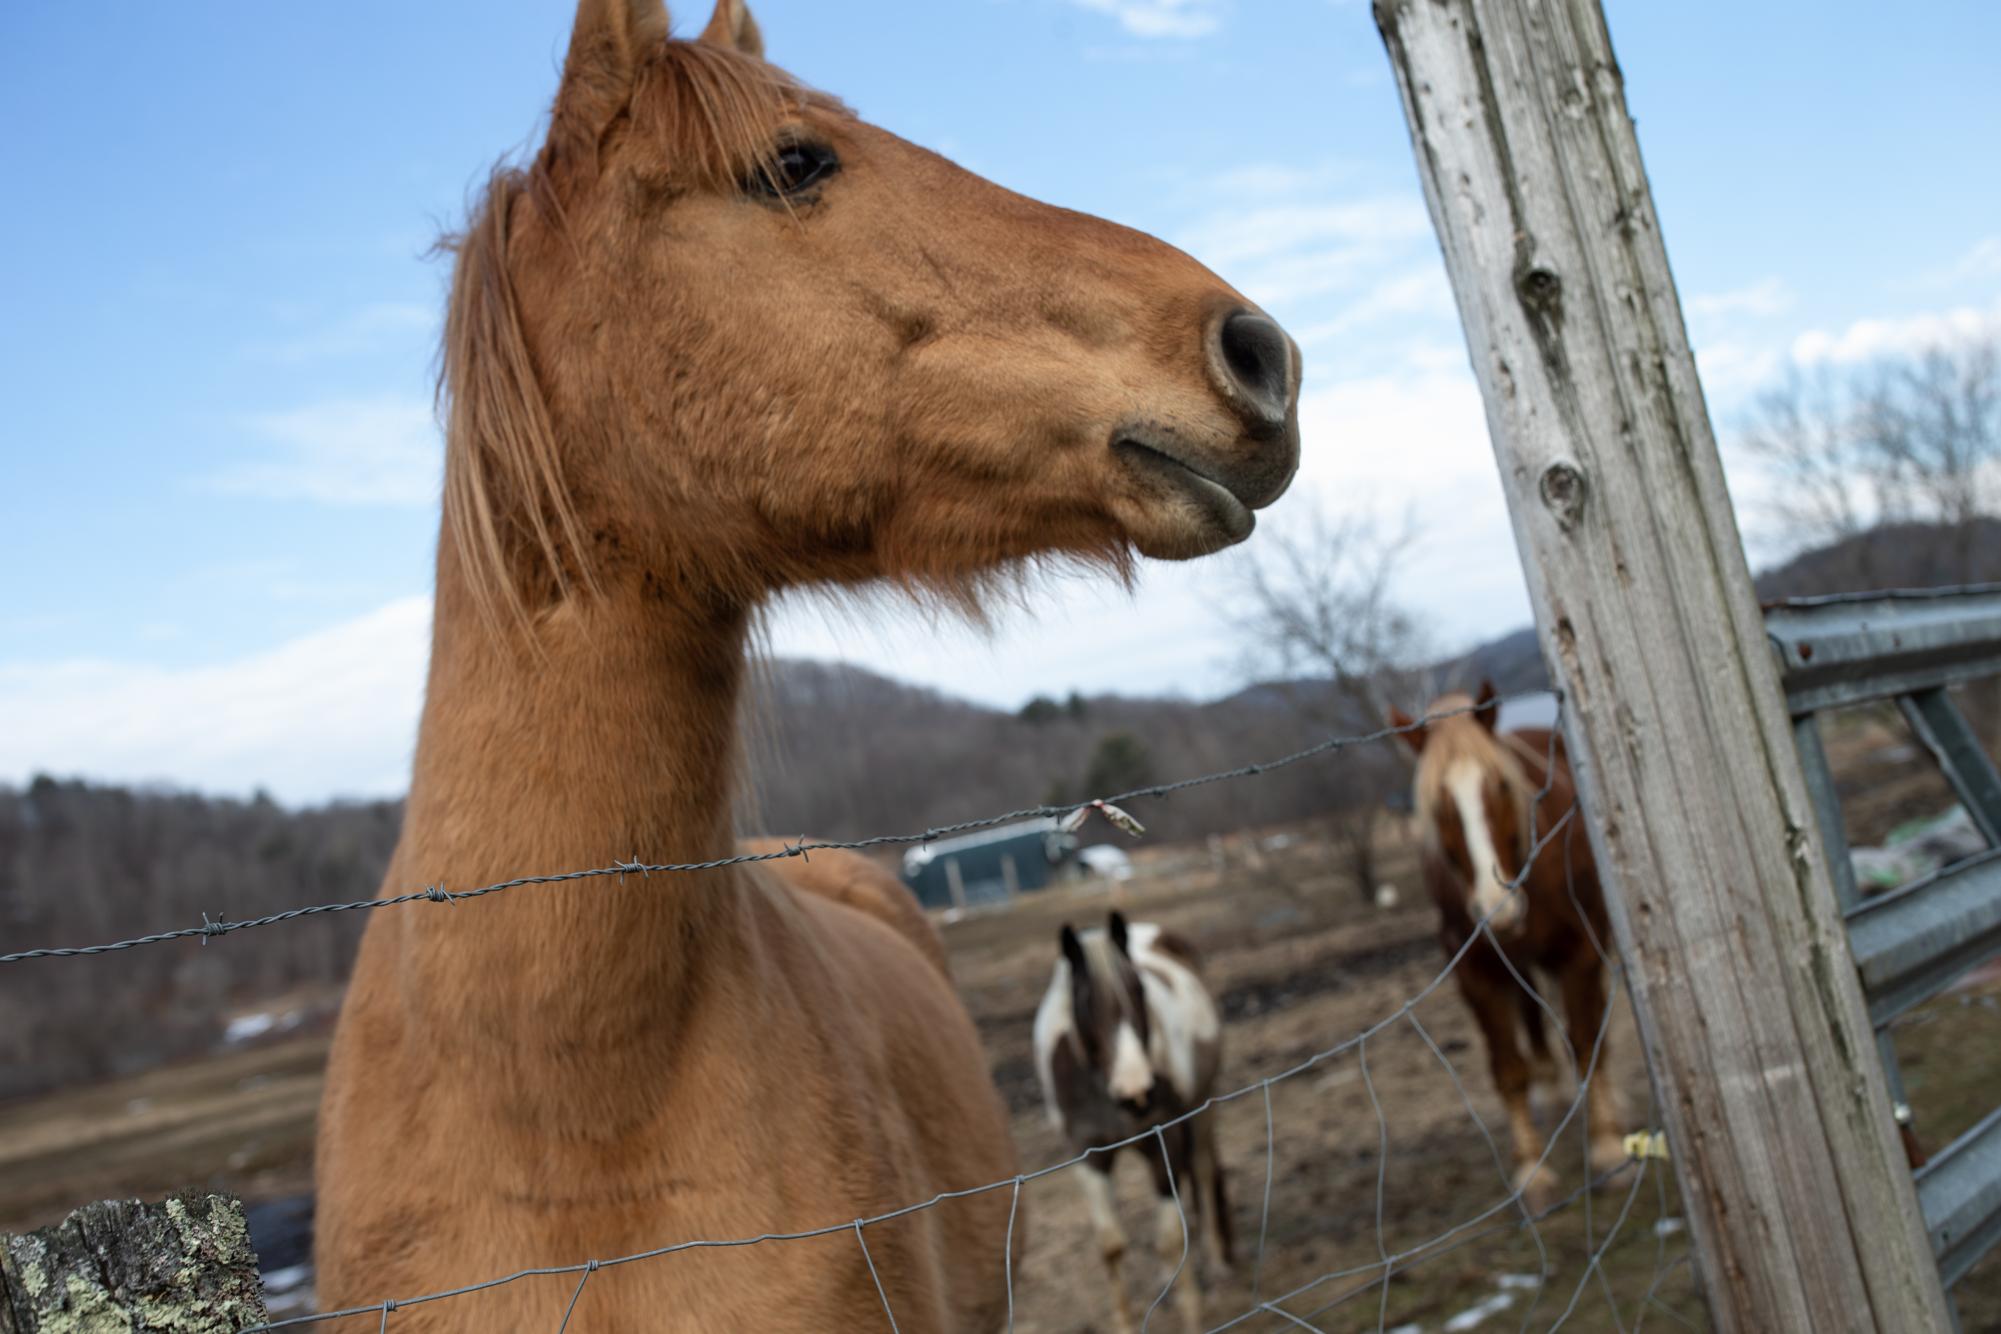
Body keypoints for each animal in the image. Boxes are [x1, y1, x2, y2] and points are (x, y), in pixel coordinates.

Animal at [1040, 912, 1224, 1334]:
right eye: (1085, 1004)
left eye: (1139, 989)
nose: (1137, 1091)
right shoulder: (1088, 1156)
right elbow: (1111, 1245)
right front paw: (1125, 1323)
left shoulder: (1166, 1139)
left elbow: (1169, 1240)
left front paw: (1191, 1315)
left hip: (1203, 1106)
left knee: (1204, 1173)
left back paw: (1217, 1263)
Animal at [1392, 688, 1624, 1208]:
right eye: (1439, 803)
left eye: (1499, 784)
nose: (1497, 907)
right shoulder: (1478, 973)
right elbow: (1508, 1069)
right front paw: (1532, 1171)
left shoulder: (1580, 952)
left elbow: (1585, 1041)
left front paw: (1606, 1145)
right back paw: (1551, 1090)